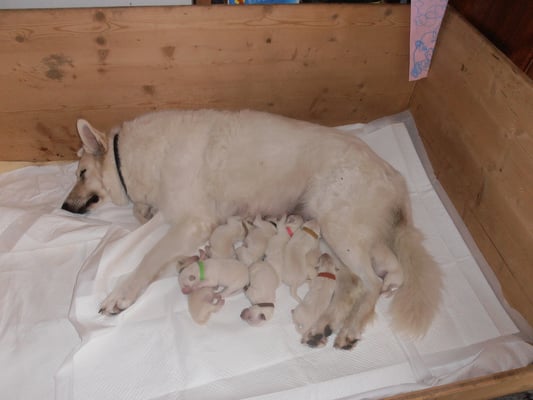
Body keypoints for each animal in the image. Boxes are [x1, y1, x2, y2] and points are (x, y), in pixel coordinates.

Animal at [62, 109, 442, 342]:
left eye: (81, 173)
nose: (64, 206)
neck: (135, 156)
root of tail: (394, 177)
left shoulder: (192, 222)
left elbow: (149, 258)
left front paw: (121, 295)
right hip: (341, 238)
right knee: (360, 280)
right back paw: (325, 325)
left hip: (339, 228)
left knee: (370, 283)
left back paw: (348, 329)